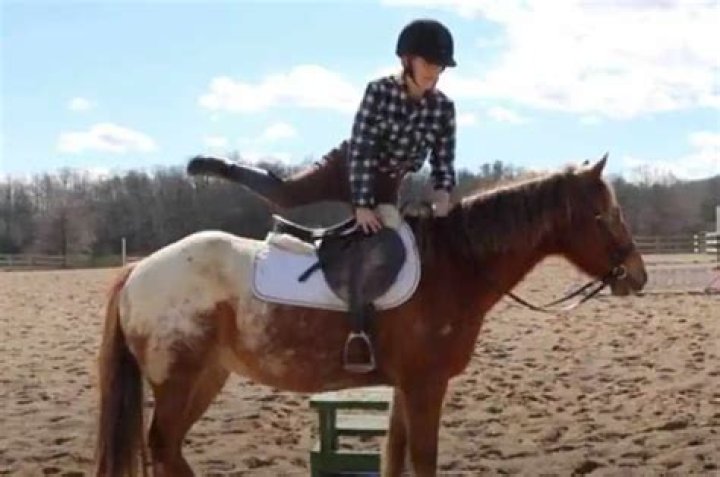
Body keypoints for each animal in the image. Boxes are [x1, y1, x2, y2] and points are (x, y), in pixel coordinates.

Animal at [93, 155, 647, 476]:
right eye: (605, 215)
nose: (637, 275)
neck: (454, 263)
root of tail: (139, 269)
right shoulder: (425, 385)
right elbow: (422, 459)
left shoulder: (406, 386)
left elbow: (395, 457)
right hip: (178, 380)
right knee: (164, 446)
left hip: (206, 377)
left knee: (167, 450)